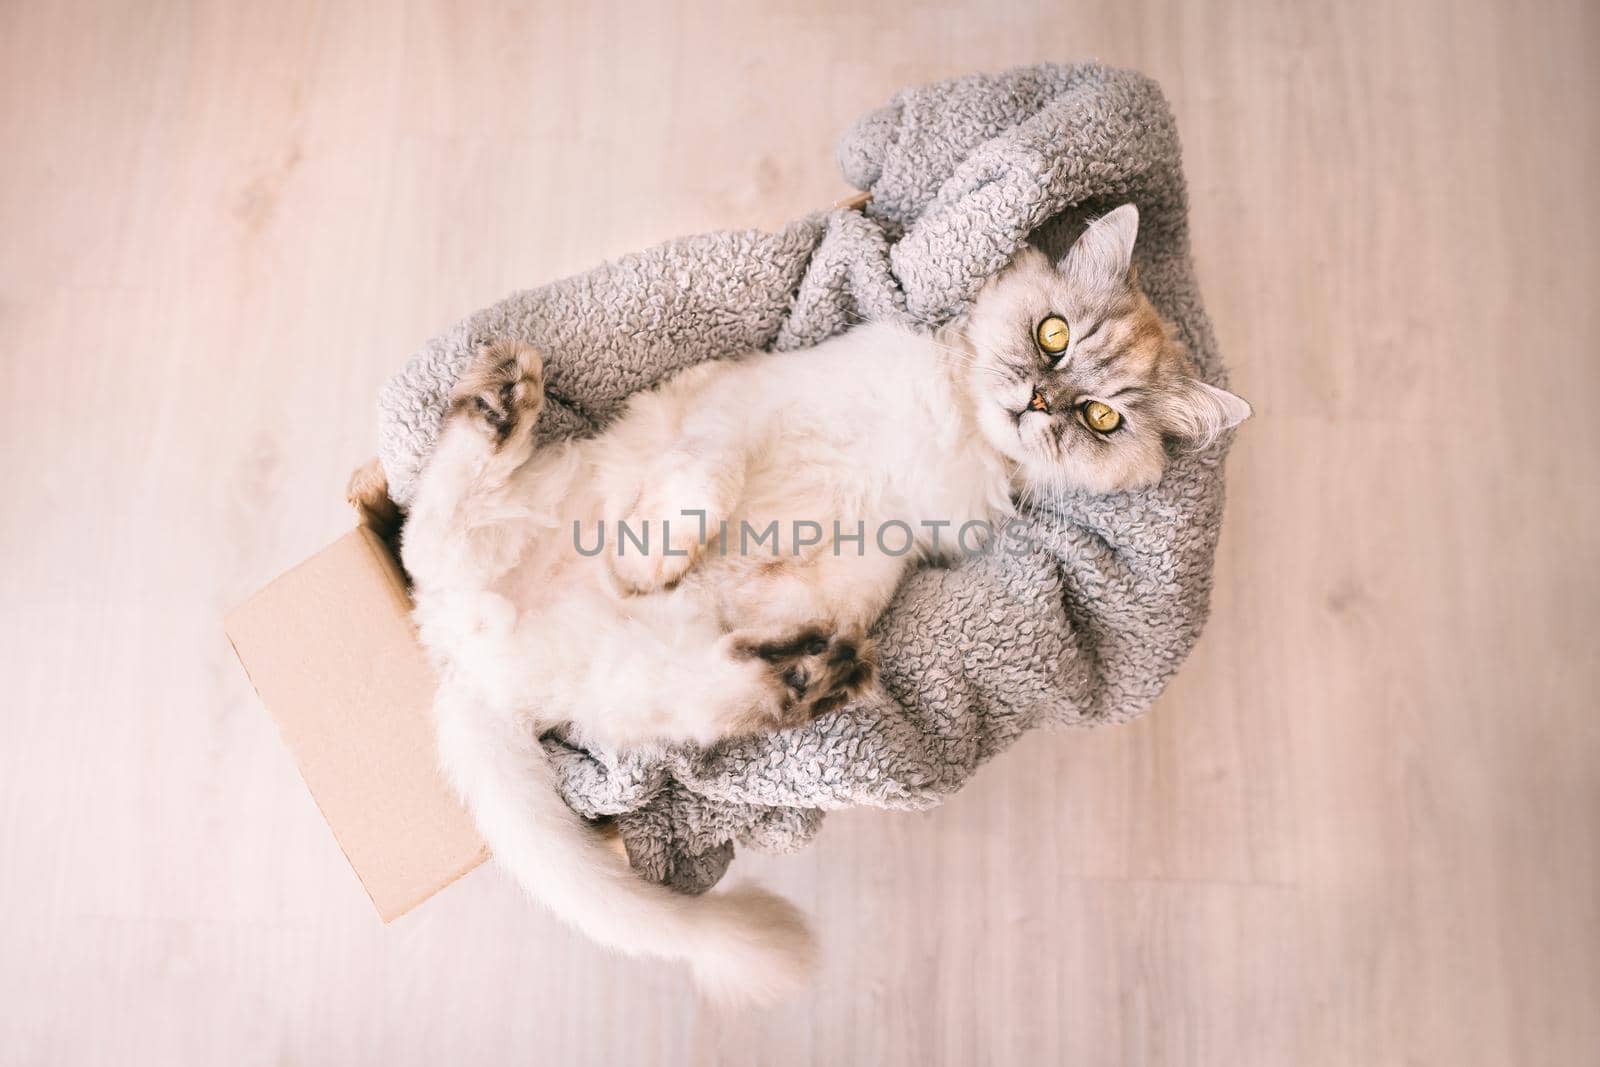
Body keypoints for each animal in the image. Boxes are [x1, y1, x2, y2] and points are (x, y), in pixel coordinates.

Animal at [387, 206, 1248, 1011]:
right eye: (1054, 335)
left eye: (1101, 416)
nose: (1041, 399)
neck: (957, 428)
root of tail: (467, 673)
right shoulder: (736, 411)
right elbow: (704, 484)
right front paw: (652, 558)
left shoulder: (871, 548)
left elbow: (769, 563)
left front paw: (677, 572)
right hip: (505, 529)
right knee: (439, 513)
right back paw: (506, 393)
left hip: (646, 675)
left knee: (717, 690)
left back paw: (816, 671)